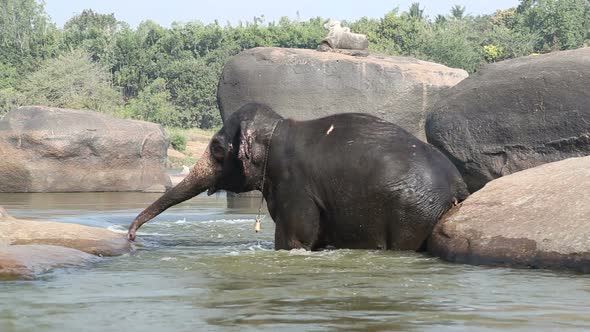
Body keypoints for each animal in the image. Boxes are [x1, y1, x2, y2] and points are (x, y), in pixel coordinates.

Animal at [130, 102, 472, 250]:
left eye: (216, 147)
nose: (132, 235)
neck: (278, 127)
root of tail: (458, 186)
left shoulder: (295, 185)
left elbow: (294, 239)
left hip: (411, 215)